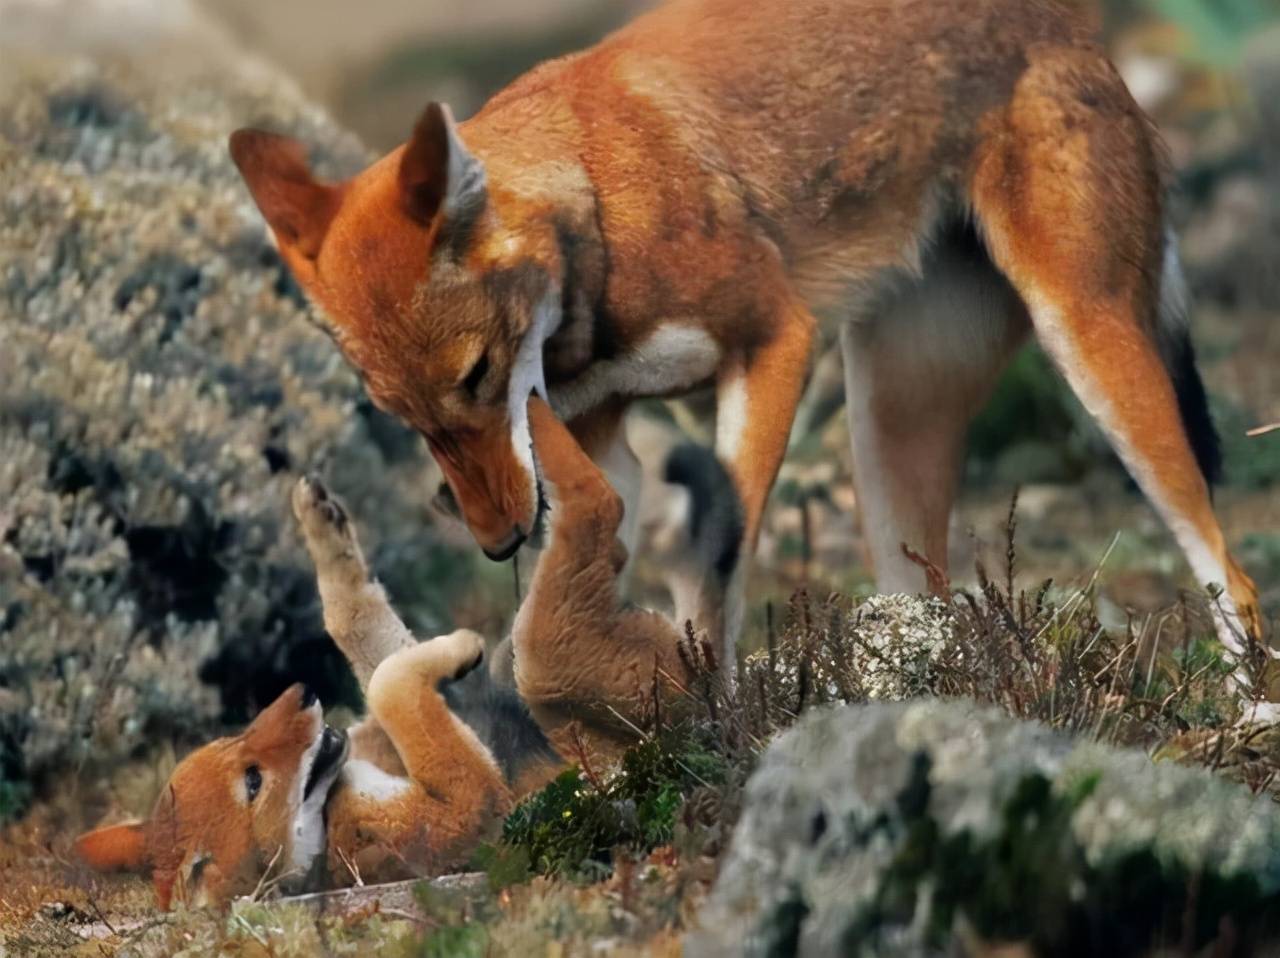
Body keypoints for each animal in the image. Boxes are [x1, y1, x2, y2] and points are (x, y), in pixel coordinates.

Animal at [77, 399, 742, 911]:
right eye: (253, 782)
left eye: (235, 742)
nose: (302, 693)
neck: (338, 805)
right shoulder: (470, 806)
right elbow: (390, 681)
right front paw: (458, 645)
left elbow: (358, 625)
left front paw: (325, 529)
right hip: (557, 663)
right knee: (600, 509)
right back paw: (536, 421)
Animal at [227, 0, 1259, 671]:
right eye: (404, 418)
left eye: (477, 376)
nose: (496, 542)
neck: (601, 223)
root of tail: (1073, 22)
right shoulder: (598, 443)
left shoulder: (773, 347)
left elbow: (714, 583)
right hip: (889, 435)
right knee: (931, 609)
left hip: (1094, 362)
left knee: (1233, 576)